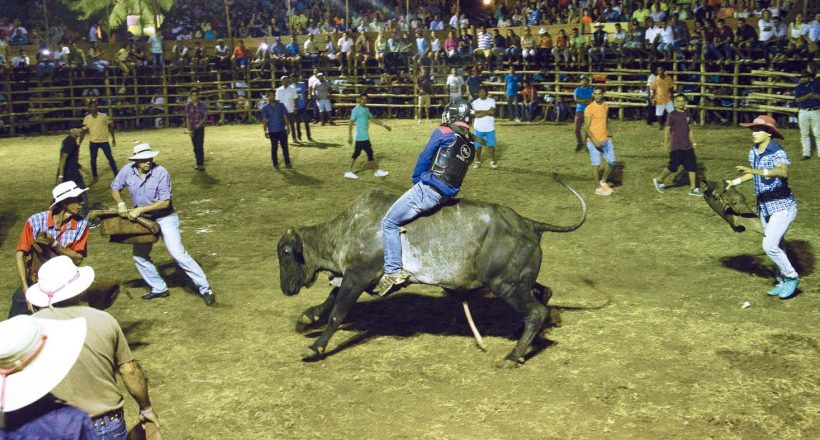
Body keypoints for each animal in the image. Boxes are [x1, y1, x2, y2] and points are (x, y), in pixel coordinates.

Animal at [278, 175, 588, 368]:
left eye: (285, 253)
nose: (285, 289)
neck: (347, 228)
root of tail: (530, 224)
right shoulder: (352, 277)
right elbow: (329, 300)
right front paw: (306, 319)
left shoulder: (359, 276)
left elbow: (337, 312)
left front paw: (316, 347)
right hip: (519, 281)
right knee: (544, 292)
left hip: (506, 284)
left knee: (536, 311)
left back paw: (513, 356)